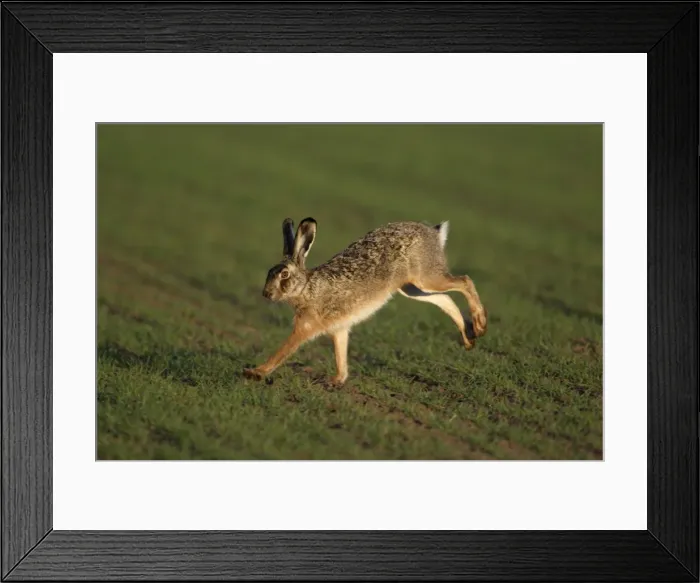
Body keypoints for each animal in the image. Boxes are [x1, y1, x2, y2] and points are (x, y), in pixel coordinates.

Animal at [243, 217, 487, 386]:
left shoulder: (306, 326)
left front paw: (256, 372)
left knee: (465, 281)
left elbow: (284, 350)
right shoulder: (339, 329)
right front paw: (337, 380)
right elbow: (341, 355)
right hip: (413, 288)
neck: (306, 288)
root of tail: (434, 233)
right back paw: (469, 339)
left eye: (284, 275)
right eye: (269, 272)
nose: (266, 294)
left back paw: (480, 324)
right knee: (445, 298)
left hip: (426, 277)